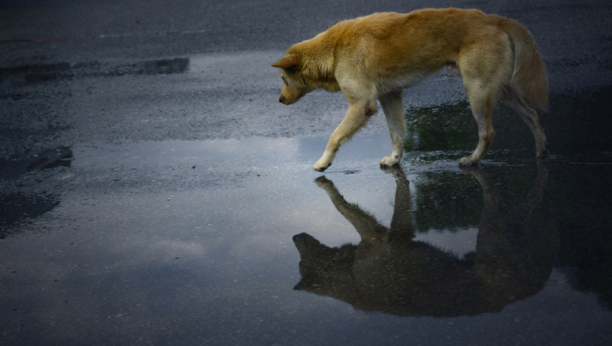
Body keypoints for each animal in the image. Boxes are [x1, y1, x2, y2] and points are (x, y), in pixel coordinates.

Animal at [272, 7, 548, 170]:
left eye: (284, 79)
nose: (280, 101)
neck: (334, 50)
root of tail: (496, 19)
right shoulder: (390, 97)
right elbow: (397, 134)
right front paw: (395, 159)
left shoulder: (362, 105)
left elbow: (334, 136)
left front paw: (323, 162)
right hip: (500, 90)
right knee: (532, 115)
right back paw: (541, 150)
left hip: (476, 91)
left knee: (487, 132)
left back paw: (472, 159)